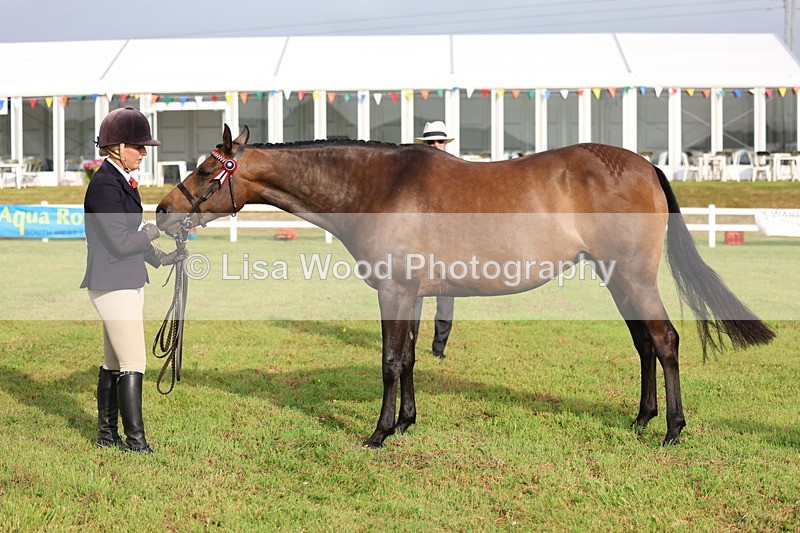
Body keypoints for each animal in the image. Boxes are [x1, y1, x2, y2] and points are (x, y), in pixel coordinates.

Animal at [155, 125, 775, 448]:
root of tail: (645, 166)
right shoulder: (412, 293)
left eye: (206, 172)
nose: (162, 213)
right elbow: (408, 358)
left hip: (634, 276)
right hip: (616, 279)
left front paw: (379, 433)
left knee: (665, 342)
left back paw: (671, 429)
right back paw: (641, 419)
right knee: (644, 344)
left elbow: (390, 360)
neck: (380, 186)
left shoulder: (394, 291)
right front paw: (406, 423)